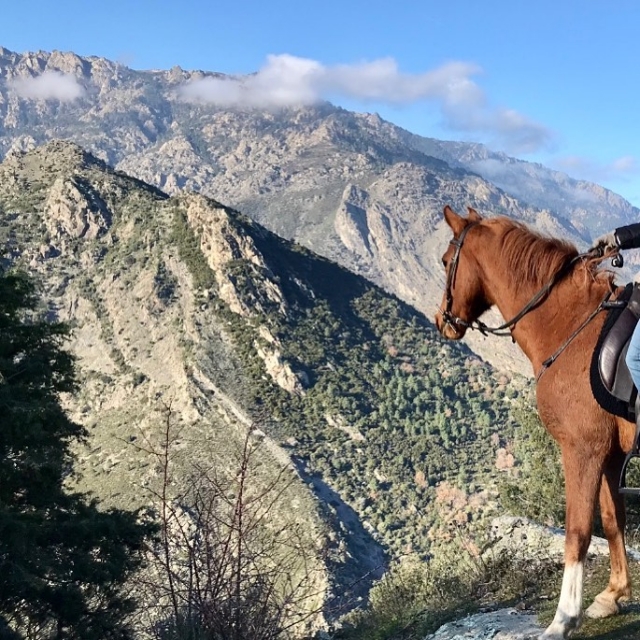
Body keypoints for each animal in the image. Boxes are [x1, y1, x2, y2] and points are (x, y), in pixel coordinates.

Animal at [435, 205, 635, 640]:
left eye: (445, 261)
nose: (442, 320)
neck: (575, 331)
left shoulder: (582, 451)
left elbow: (578, 533)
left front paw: (564, 618)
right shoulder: (609, 456)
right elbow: (613, 521)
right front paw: (613, 595)